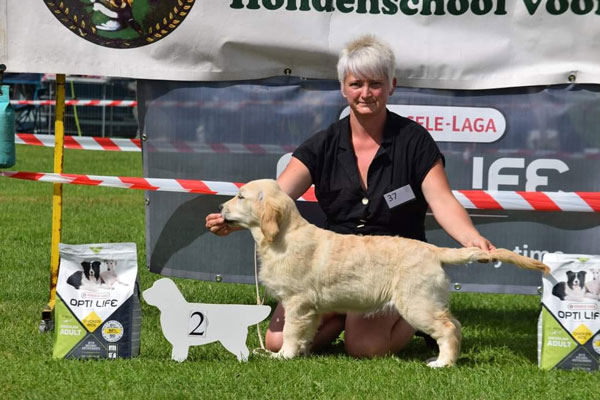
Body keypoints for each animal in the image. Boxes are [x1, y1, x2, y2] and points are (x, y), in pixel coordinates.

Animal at [219, 180, 548, 368]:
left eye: (240, 197)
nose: (220, 207)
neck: (283, 236)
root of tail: (433, 251)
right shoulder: (310, 308)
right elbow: (305, 332)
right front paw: (301, 353)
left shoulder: (297, 302)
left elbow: (289, 332)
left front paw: (283, 356)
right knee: (455, 323)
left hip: (416, 303)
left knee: (448, 328)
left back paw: (442, 363)